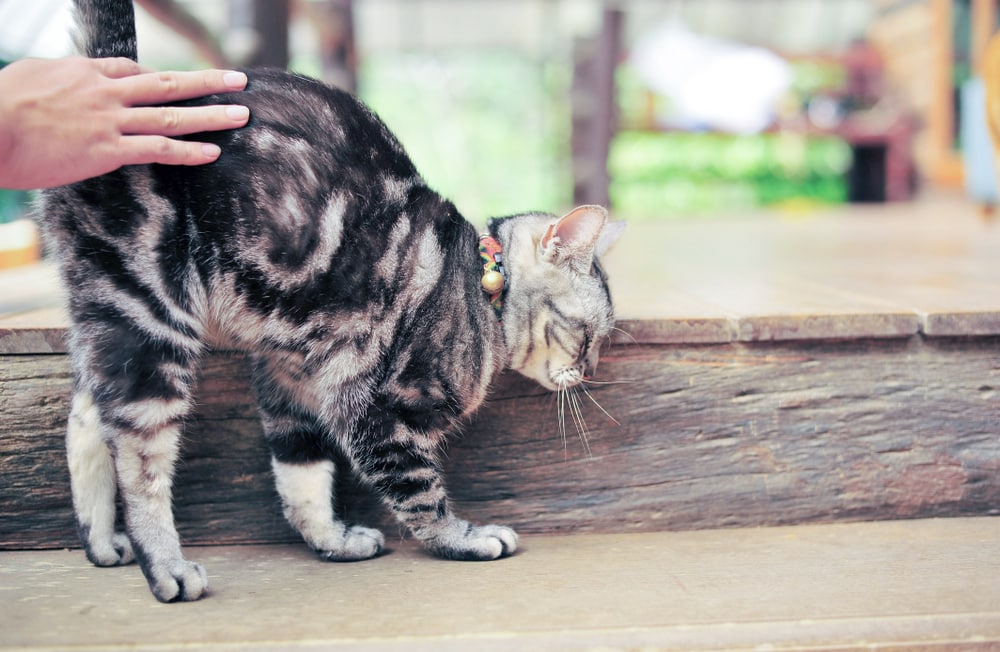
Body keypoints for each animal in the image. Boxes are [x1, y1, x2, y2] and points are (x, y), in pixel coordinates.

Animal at [43, 0, 624, 604]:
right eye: (589, 336)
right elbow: (420, 494)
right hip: (153, 322)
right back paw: (166, 568)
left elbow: (301, 474)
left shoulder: (294, 379)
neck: (480, 289)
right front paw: (461, 538)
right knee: (139, 462)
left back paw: (101, 542)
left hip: (114, 317)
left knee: (86, 422)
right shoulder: (374, 408)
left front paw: (331, 540)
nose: (591, 370)